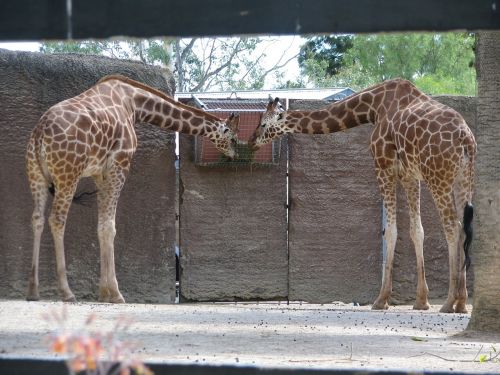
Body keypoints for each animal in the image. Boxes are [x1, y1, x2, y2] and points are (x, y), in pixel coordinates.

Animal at [25, 75, 240, 304]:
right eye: (233, 138)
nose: (234, 155)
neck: (134, 103)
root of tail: (40, 132)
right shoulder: (120, 164)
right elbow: (109, 227)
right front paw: (116, 294)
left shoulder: (99, 174)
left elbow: (101, 226)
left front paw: (103, 293)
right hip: (68, 173)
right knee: (57, 219)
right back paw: (67, 292)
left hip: (36, 174)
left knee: (37, 219)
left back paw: (33, 291)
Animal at [248, 78, 474, 312]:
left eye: (263, 124)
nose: (251, 140)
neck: (373, 107)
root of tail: (465, 138)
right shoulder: (410, 174)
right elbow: (416, 230)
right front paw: (421, 300)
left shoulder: (384, 166)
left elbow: (390, 231)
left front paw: (381, 299)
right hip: (464, 177)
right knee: (465, 227)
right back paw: (462, 301)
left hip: (438, 177)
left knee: (452, 226)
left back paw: (449, 301)